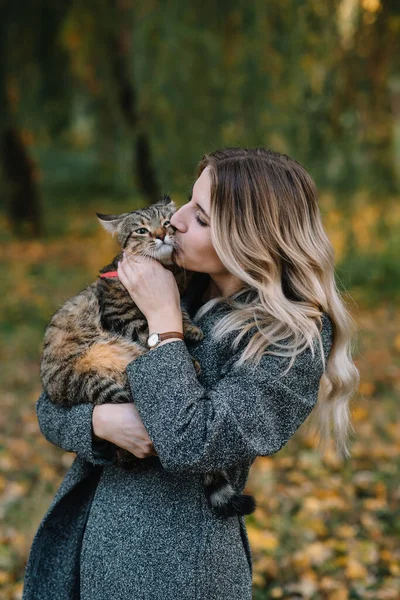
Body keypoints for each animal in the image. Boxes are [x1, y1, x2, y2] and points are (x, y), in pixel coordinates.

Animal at [40, 195, 256, 516]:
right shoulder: (122, 315)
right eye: (141, 230)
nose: (161, 234)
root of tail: (57, 390)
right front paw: (188, 332)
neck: (168, 272)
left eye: (167, 223)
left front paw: (190, 326)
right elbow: (146, 326)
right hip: (102, 378)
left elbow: (177, 309)